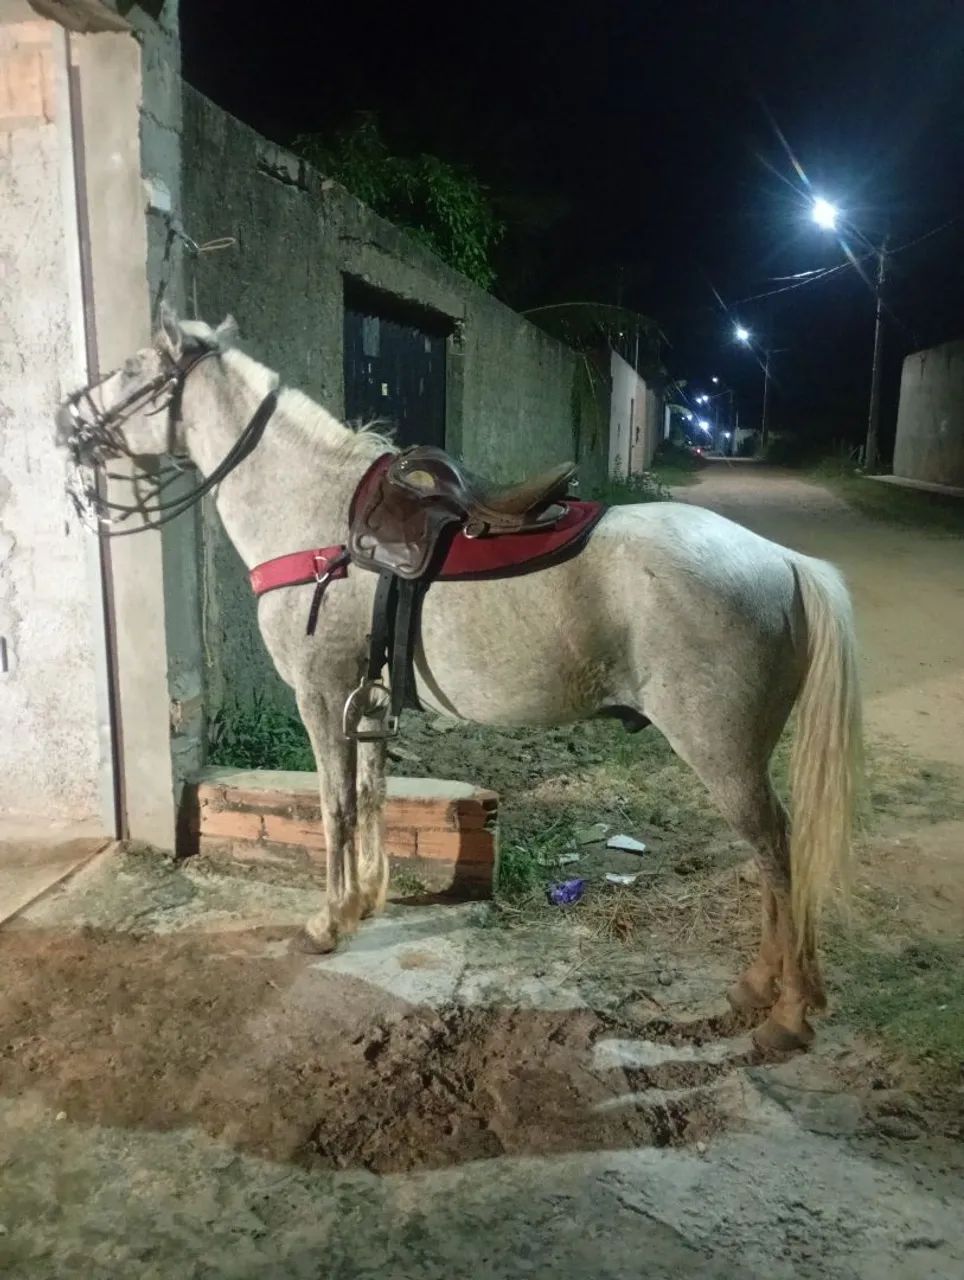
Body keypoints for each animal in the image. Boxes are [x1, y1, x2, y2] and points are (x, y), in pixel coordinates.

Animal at [57, 306, 862, 1052]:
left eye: (133, 370)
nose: (67, 419)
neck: (315, 520)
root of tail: (787, 564)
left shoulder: (320, 696)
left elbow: (333, 810)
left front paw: (327, 922)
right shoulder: (367, 701)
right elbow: (370, 798)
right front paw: (365, 902)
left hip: (721, 751)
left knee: (777, 852)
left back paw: (787, 1013)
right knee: (770, 856)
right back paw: (756, 987)